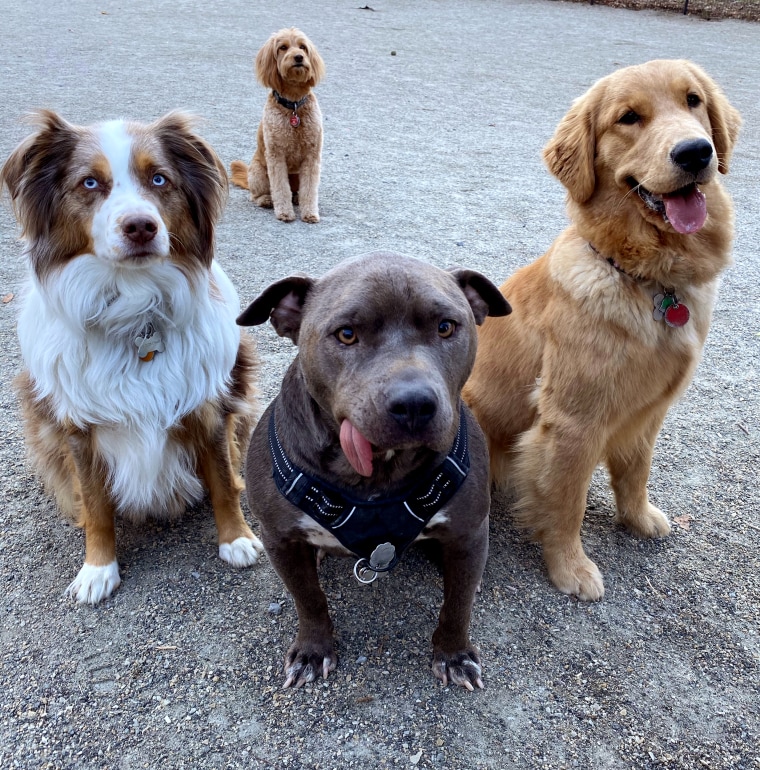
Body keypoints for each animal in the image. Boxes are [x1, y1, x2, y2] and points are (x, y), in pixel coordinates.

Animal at [232, 28, 326, 220]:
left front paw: (310, 213)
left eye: (303, 47)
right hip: (258, 172)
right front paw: (284, 213)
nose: (298, 57)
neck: (294, 104)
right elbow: (281, 188)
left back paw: (296, 199)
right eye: (283, 47)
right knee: (255, 195)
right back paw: (266, 200)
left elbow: (310, 189)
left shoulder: (312, 156)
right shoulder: (276, 156)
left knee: (297, 191)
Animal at [238, 254, 510, 688]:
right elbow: (308, 599)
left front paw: (453, 654)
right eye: (346, 334)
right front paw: (313, 650)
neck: (378, 475)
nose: (414, 403)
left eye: (446, 327)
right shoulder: (280, 538)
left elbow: (458, 604)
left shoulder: (468, 530)